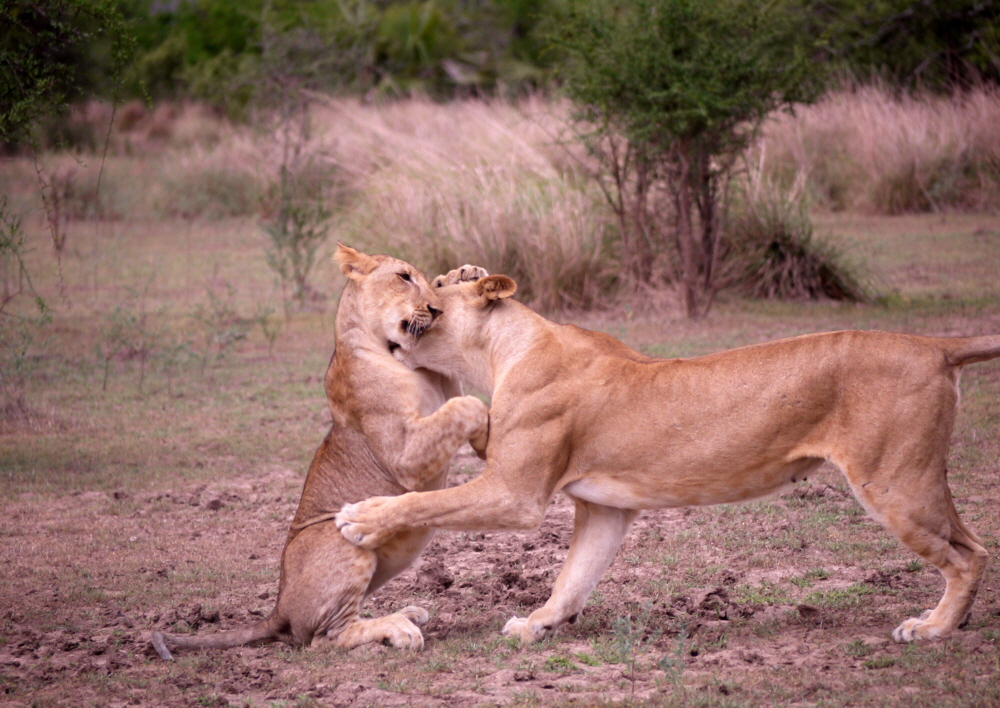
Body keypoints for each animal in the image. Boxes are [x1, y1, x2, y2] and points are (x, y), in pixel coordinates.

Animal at [148, 249, 488, 660]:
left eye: (418, 277)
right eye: (403, 277)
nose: (436, 310)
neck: (386, 349)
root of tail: (277, 609)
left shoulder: (441, 384)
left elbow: (454, 388)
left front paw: (462, 275)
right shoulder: (403, 455)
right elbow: (464, 407)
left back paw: (406, 612)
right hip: (340, 538)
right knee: (324, 637)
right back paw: (397, 627)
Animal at [340, 274, 1000, 644]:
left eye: (430, 293)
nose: (396, 323)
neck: (502, 349)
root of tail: (934, 345)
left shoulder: (514, 493)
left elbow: (424, 500)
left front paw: (359, 517)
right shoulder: (605, 509)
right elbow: (573, 578)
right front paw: (537, 625)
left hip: (893, 481)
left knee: (969, 554)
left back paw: (933, 628)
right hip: (910, 478)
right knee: (972, 545)